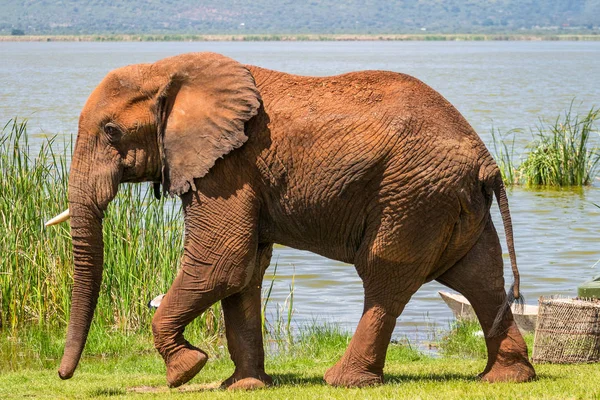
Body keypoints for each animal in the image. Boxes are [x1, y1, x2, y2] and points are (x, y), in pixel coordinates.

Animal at [45, 51, 536, 390]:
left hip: (412, 196)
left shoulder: (229, 167)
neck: (169, 67)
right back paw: (506, 379)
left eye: (111, 132)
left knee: (385, 274)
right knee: (480, 276)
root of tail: (485, 158)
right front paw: (242, 386)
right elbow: (246, 269)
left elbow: (221, 263)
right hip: (450, 201)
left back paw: (342, 380)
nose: (62, 375)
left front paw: (186, 370)